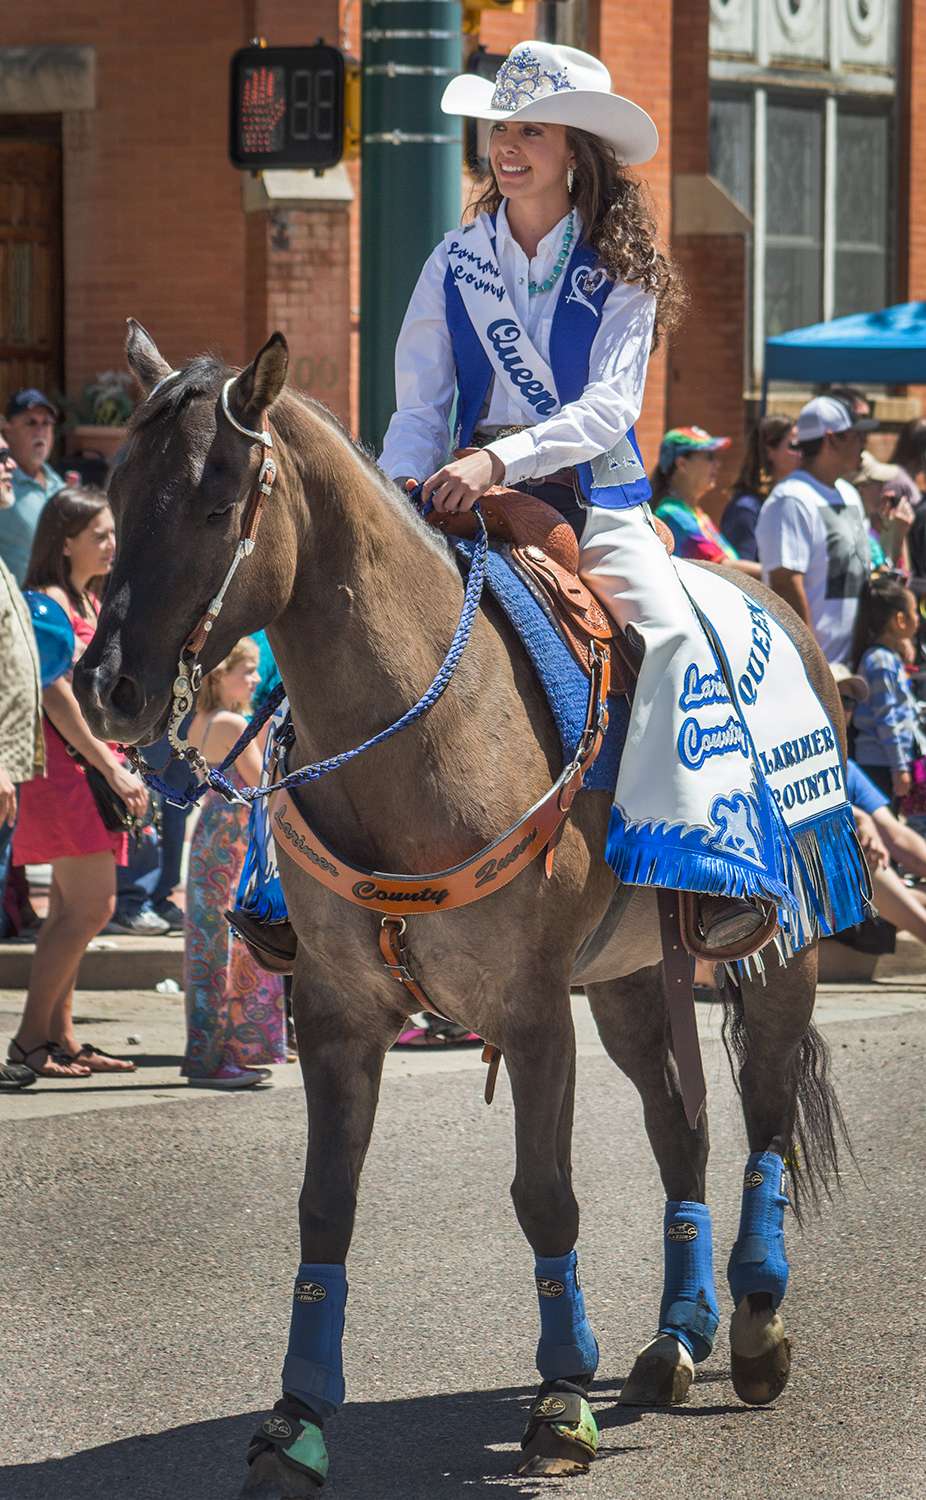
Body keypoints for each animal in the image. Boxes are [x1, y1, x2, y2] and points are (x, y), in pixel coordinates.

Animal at [75, 322, 846, 1494]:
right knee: (681, 1131)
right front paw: (295, 1420)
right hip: (627, 978)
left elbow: (545, 1193)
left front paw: (560, 1398)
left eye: (214, 501)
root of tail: (775, 600)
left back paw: (754, 1324)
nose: (108, 688)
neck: (417, 732)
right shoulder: (340, 1012)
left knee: (759, 1111)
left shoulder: (529, 1010)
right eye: (114, 487)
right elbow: (324, 1207)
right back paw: (675, 1337)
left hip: (777, 952)